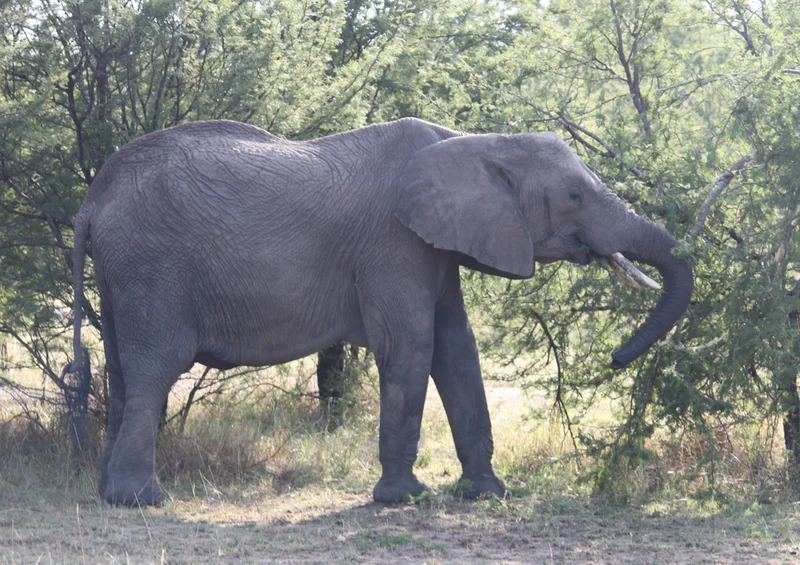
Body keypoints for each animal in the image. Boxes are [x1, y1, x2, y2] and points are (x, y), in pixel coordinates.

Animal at [69, 117, 693, 506]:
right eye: (574, 197)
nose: (616, 359)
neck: (474, 141)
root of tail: (92, 201)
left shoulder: (436, 245)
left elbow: (457, 349)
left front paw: (488, 494)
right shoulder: (394, 243)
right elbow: (413, 345)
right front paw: (405, 499)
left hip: (123, 274)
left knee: (123, 373)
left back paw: (105, 493)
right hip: (152, 267)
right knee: (155, 369)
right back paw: (143, 501)